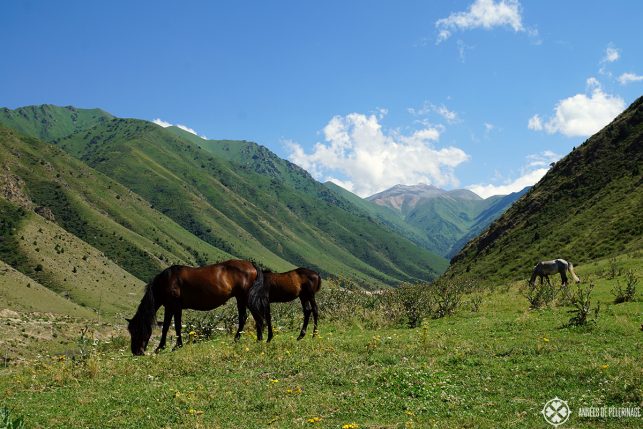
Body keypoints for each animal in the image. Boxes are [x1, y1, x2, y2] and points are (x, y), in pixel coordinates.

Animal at [126, 258, 266, 354]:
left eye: (137, 330)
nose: (136, 352)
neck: (166, 281)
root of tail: (251, 265)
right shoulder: (170, 307)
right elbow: (166, 327)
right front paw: (162, 347)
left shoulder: (174, 307)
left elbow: (174, 327)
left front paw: (173, 346)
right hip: (241, 298)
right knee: (245, 318)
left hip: (244, 298)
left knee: (254, 317)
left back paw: (255, 340)